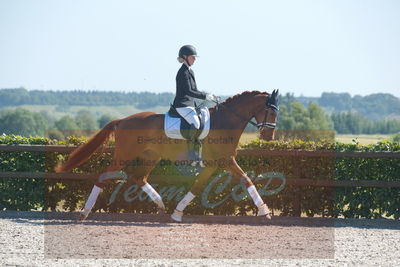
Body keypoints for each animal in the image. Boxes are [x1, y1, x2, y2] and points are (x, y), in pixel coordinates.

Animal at [55, 90, 278, 222]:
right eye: (271, 112)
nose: (269, 137)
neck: (224, 122)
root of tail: (122, 120)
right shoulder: (225, 161)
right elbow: (246, 179)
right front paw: (265, 211)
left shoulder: (213, 164)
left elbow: (198, 186)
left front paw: (177, 212)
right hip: (124, 155)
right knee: (104, 175)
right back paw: (85, 212)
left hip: (150, 156)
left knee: (138, 177)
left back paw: (161, 205)